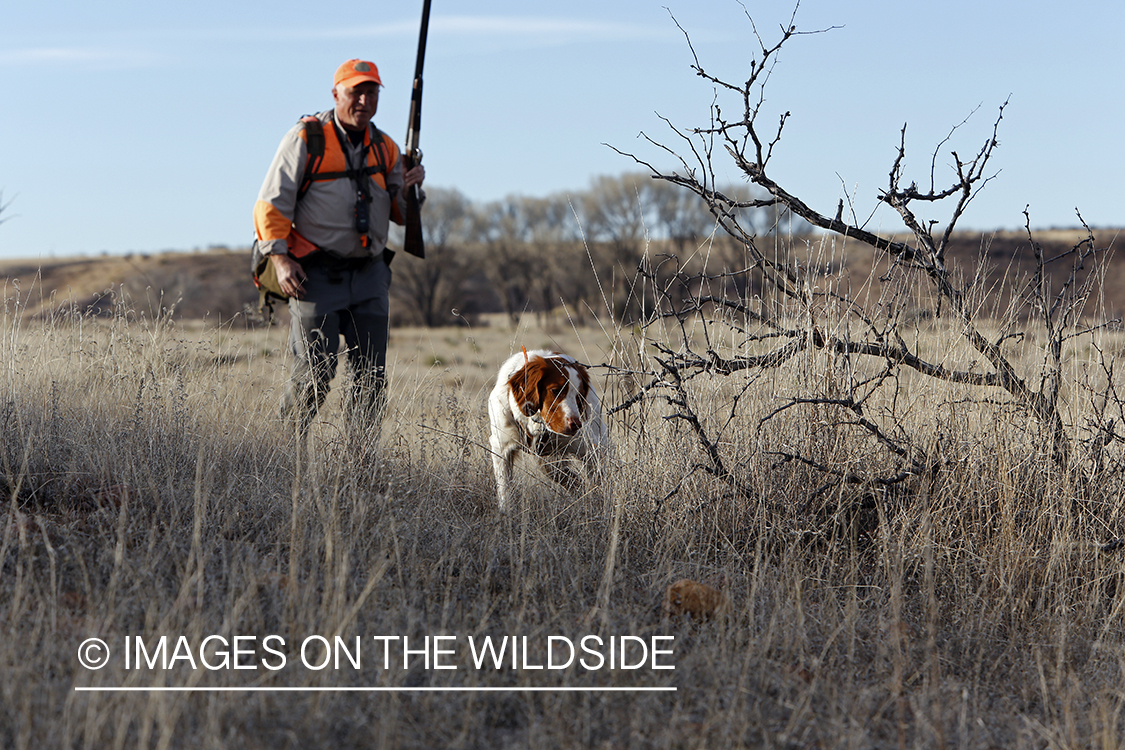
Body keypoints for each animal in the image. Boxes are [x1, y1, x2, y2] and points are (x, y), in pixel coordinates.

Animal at [486, 350, 612, 512]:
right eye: (555, 390)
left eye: (579, 396)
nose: (576, 425)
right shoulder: (501, 447)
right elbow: (505, 490)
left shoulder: (590, 449)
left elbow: (598, 483)